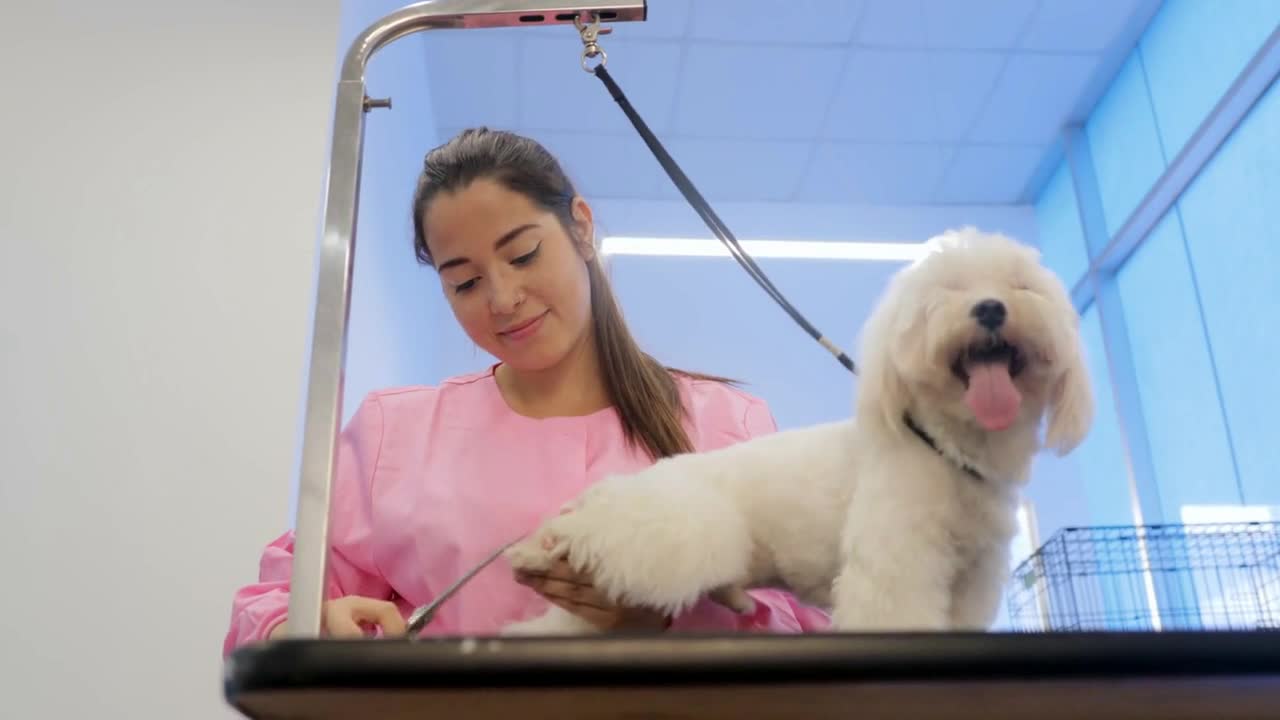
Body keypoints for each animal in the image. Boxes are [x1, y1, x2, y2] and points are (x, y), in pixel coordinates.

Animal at [499, 226, 1090, 630]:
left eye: (1022, 287)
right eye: (947, 291)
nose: (990, 307)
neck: (946, 447)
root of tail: (610, 495)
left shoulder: (972, 578)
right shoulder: (898, 565)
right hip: (682, 531)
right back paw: (542, 545)